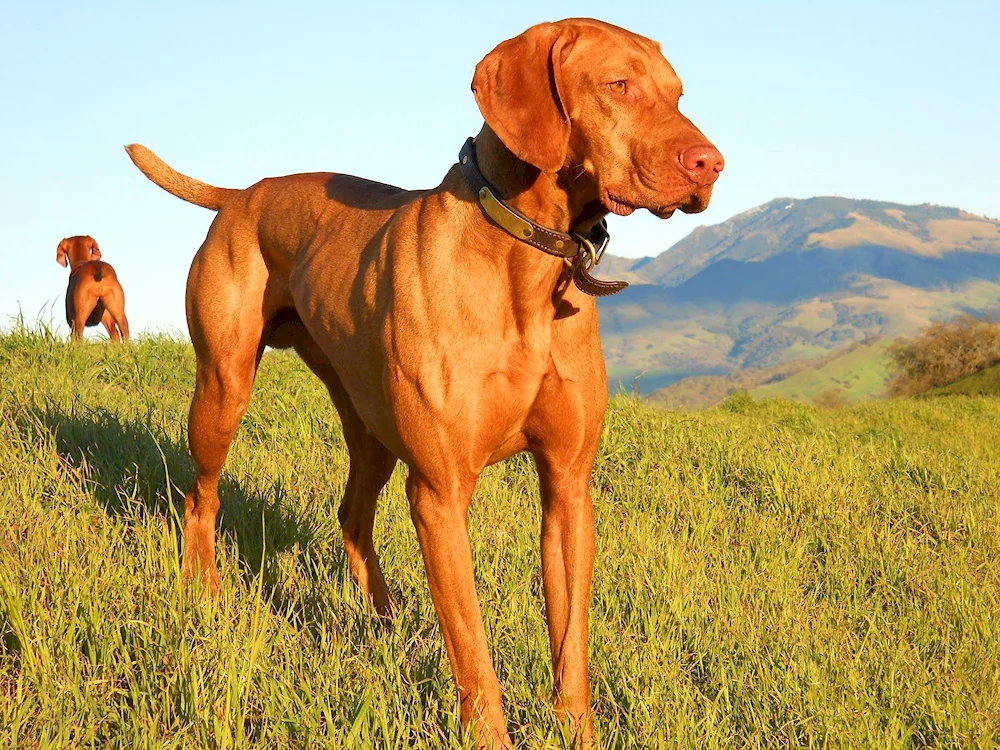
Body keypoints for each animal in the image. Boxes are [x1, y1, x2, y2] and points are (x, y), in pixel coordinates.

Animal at [125, 19, 724, 750]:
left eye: (677, 93)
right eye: (619, 84)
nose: (712, 164)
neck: (523, 259)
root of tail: (241, 195)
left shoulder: (568, 485)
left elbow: (570, 644)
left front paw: (574, 729)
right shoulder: (440, 491)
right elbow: (472, 649)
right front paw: (488, 733)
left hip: (371, 427)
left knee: (352, 517)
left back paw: (386, 628)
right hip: (223, 388)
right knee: (200, 497)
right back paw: (204, 592)